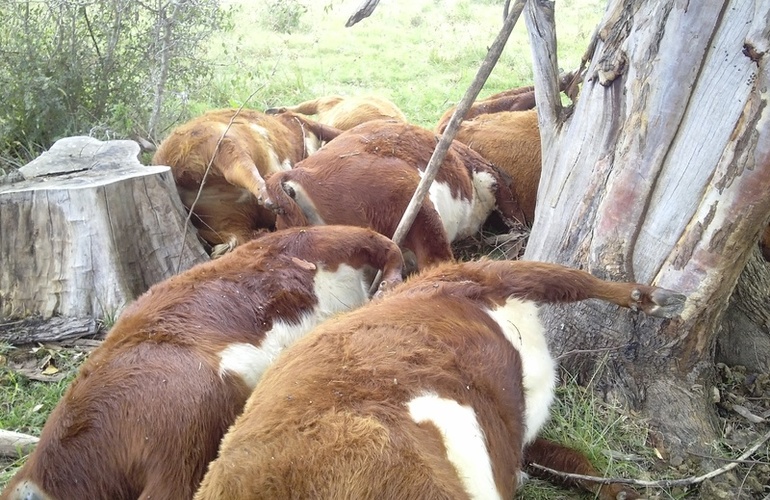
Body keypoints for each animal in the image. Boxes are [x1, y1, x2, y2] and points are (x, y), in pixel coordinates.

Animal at [152, 109, 340, 258]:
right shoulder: (299, 121)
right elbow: (325, 128)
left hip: (228, 219)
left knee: (237, 240)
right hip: (219, 140)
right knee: (239, 167)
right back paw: (271, 196)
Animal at [194, 258, 684, 500]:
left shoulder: (517, 439)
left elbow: (575, 462)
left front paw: (622, 492)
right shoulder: (486, 273)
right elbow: (568, 278)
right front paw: (652, 298)